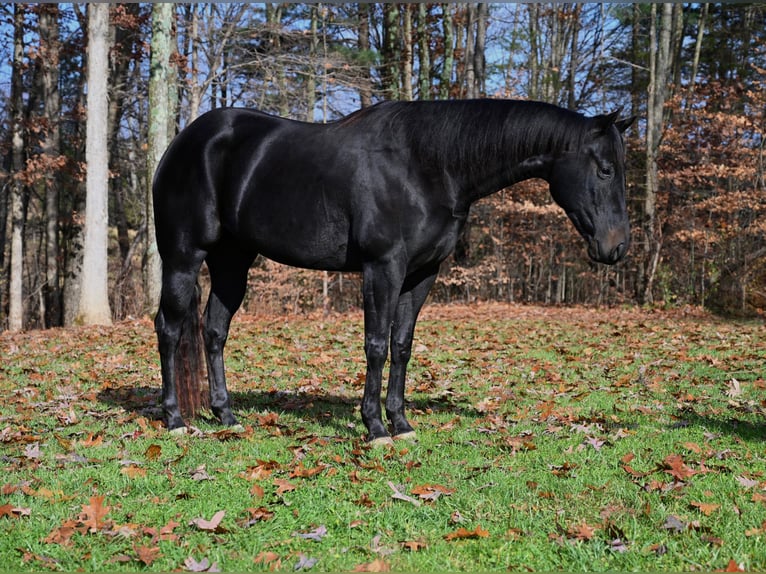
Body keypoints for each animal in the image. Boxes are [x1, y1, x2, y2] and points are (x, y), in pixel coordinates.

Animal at [152, 98, 635, 444]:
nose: (617, 246)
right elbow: (376, 346)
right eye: (605, 169)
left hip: (232, 262)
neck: (428, 166)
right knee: (169, 329)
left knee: (214, 331)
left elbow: (402, 346)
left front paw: (401, 423)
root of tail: (180, 145)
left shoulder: (422, 274)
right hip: (183, 257)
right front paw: (375, 427)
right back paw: (175, 420)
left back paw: (226, 415)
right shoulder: (382, 267)